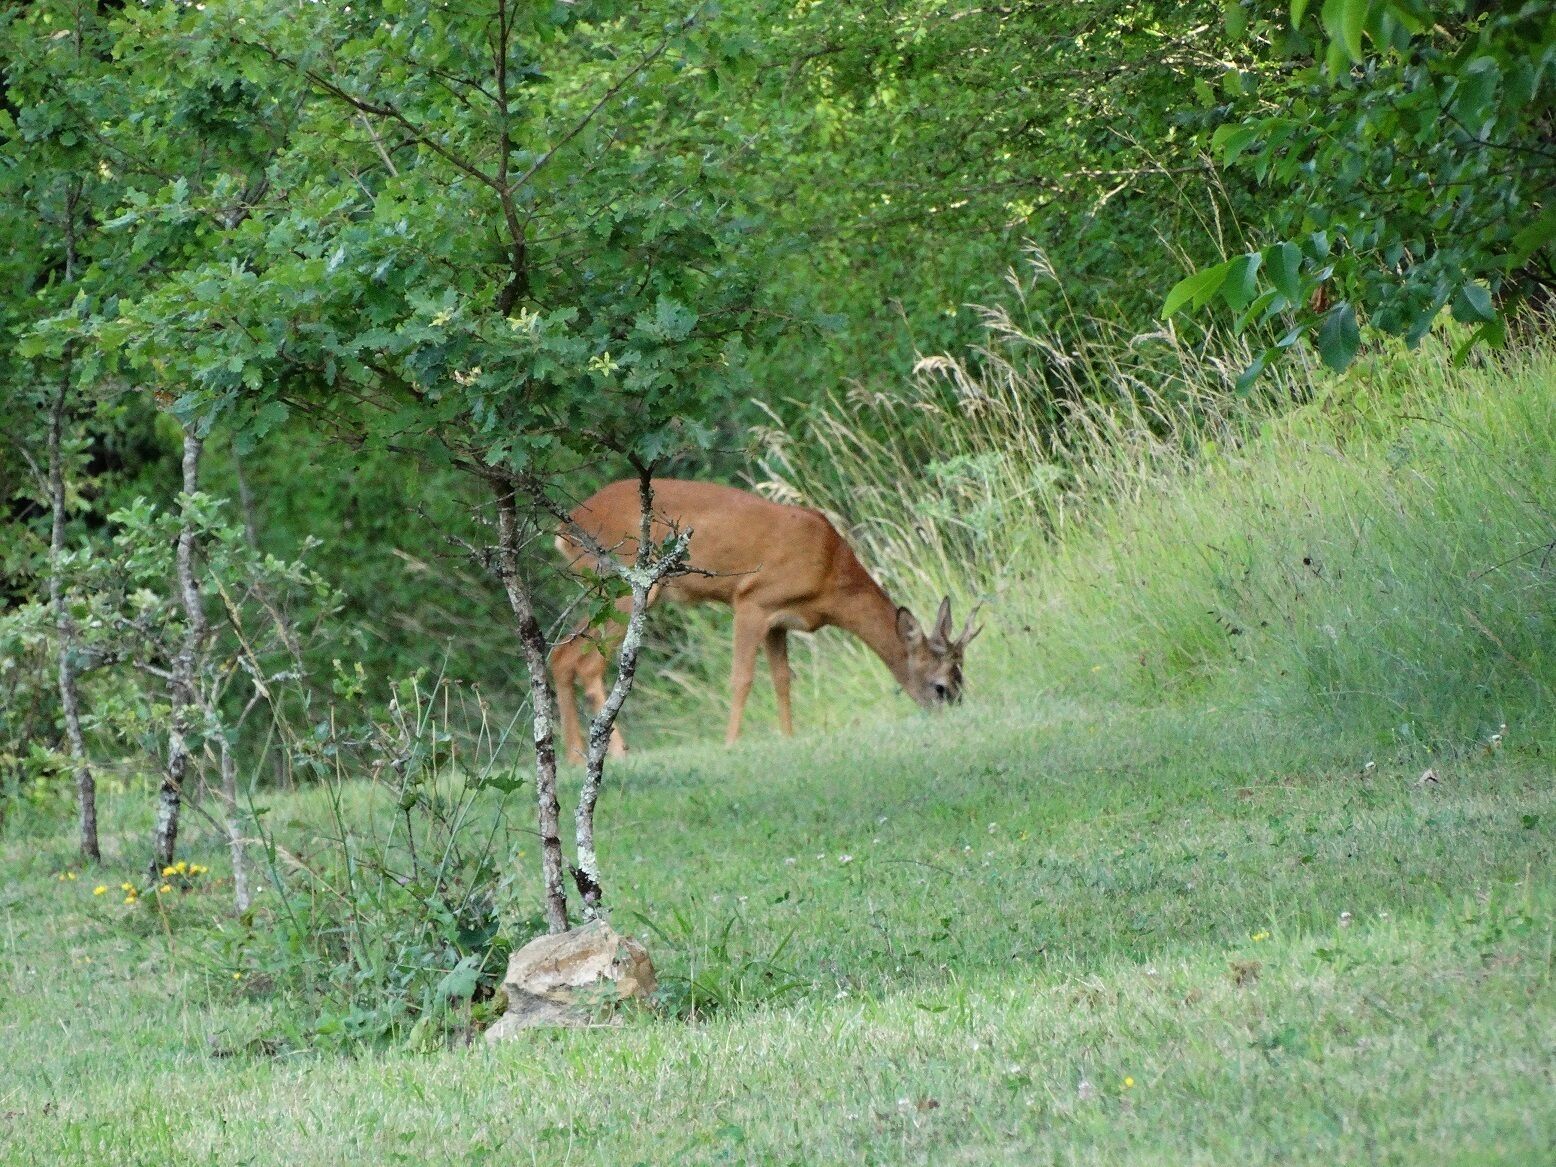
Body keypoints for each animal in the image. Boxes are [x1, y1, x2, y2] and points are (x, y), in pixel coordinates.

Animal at [548, 478, 980, 764]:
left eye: (962, 680)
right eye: (941, 686)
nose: (955, 715)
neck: (830, 573)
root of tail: (563, 529)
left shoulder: (779, 621)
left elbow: (782, 679)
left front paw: (788, 737)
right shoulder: (751, 600)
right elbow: (742, 678)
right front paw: (730, 743)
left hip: (601, 594)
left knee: (561, 656)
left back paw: (572, 756)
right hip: (627, 586)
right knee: (588, 663)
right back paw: (615, 752)